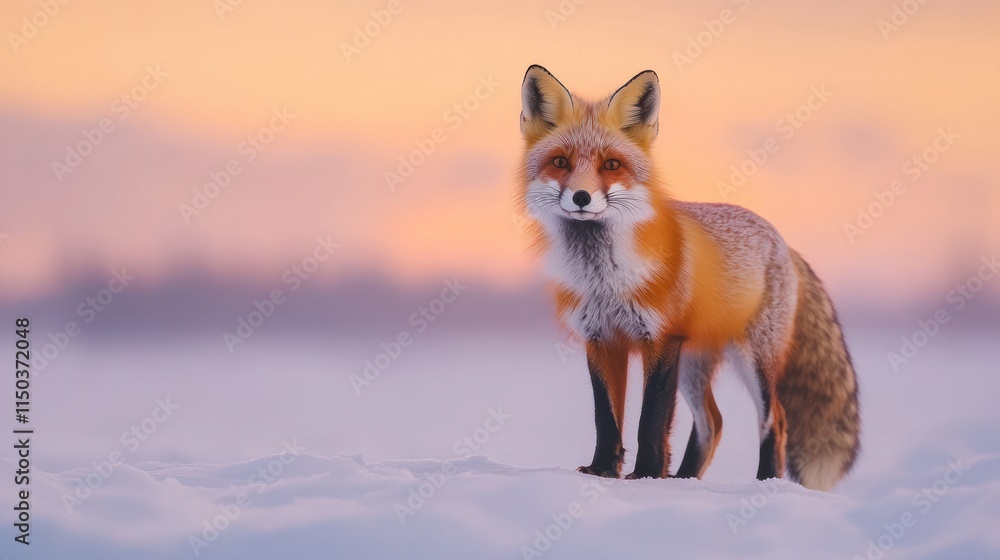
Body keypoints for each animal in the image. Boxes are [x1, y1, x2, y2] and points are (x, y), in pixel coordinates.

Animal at [516, 65, 860, 490]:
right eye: (561, 162)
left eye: (611, 165)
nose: (582, 197)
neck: (605, 280)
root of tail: (784, 242)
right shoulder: (601, 338)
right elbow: (606, 418)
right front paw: (603, 471)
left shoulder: (662, 339)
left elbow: (651, 420)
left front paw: (647, 475)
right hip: (697, 362)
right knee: (712, 422)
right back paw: (684, 480)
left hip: (754, 357)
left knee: (775, 419)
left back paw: (764, 483)